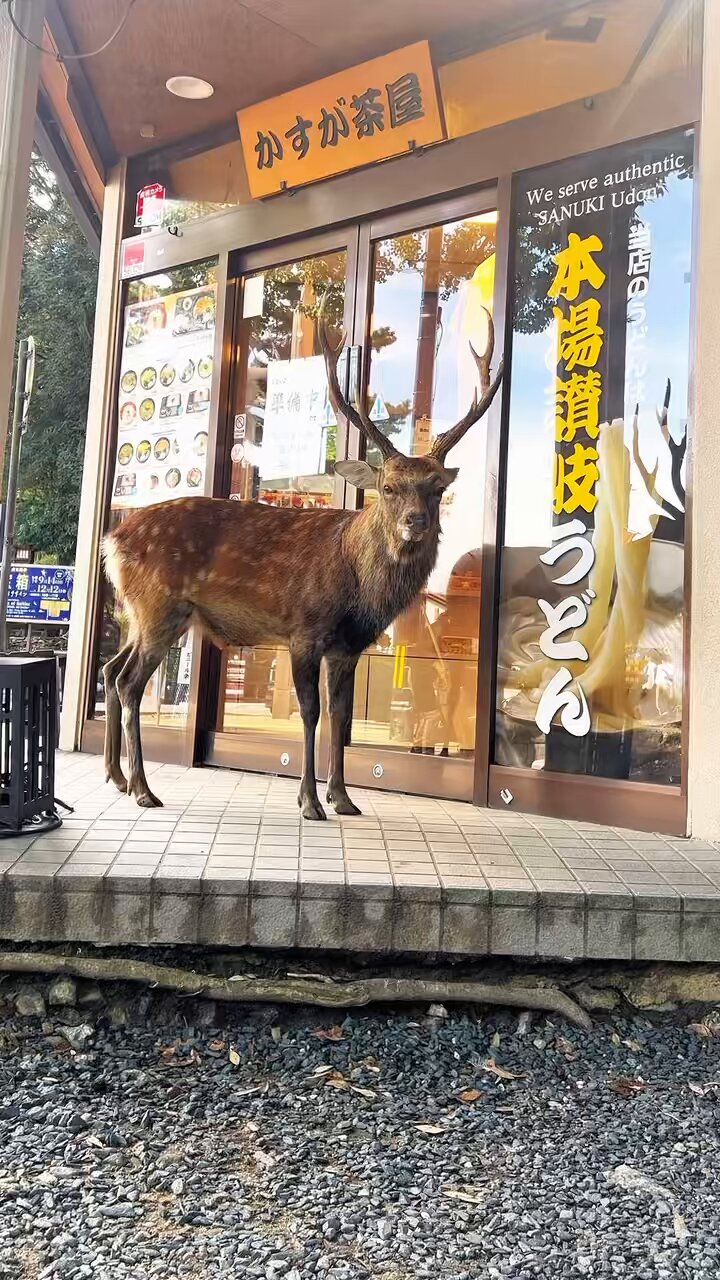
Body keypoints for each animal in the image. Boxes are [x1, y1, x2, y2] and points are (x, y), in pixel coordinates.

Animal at [102, 305, 503, 818]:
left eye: (436, 488)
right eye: (389, 486)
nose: (415, 521)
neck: (359, 591)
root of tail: (113, 540)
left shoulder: (349, 646)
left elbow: (341, 714)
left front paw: (344, 798)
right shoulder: (304, 631)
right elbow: (310, 713)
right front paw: (310, 801)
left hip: (144, 614)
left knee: (110, 670)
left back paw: (117, 777)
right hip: (159, 607)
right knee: (129, 682)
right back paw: (143, 789)